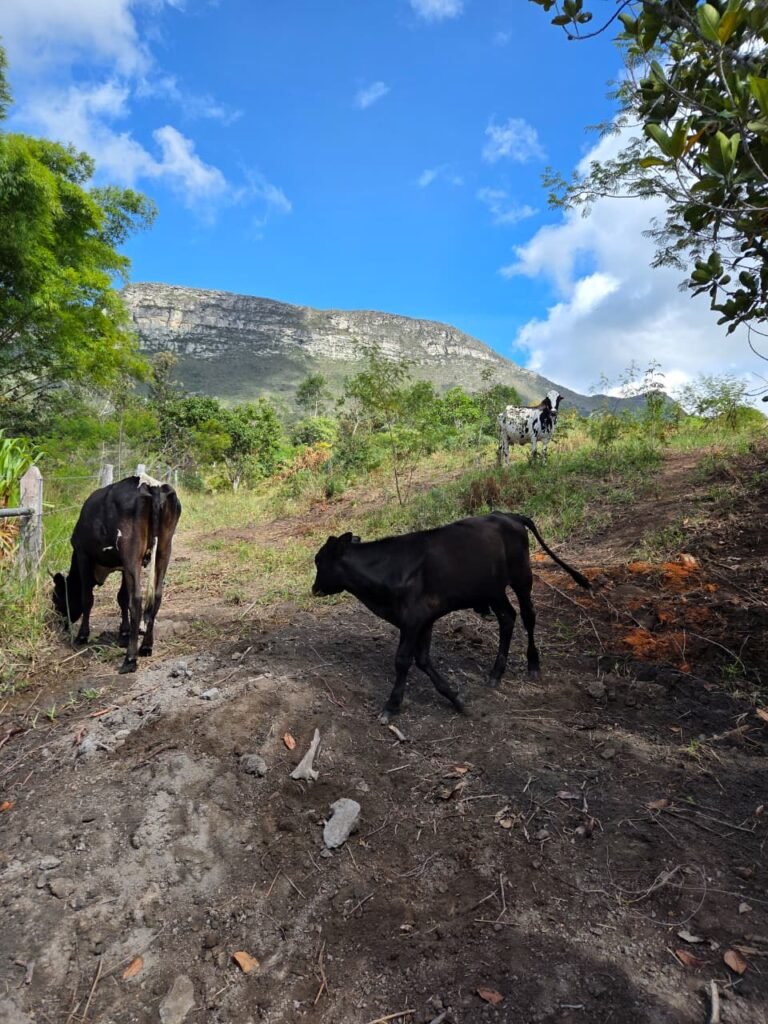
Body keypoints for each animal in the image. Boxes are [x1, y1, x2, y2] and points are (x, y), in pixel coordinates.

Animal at [52, 474, 182, 674]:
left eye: (56, 597)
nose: (62, 624)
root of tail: (150, 485)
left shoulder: (83, 553)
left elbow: (87, 598)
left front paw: (82, 636)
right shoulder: (123, 566)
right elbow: (122, 597)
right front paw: (124, 632)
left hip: (131, 552)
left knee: (137, 600)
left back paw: (130, 659)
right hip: (164, 548)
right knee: (157, 595)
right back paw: (146, 646)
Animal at [312, 511, 590, 722]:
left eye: (318, 561)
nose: (314, 588)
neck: (391, 570)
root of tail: (507, 514)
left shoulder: (413, 619)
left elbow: (402, 660)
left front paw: (391, 706)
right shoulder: (422, 621)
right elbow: (423, 660)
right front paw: (456, 699)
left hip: (522, 577)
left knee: (528, 615)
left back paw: (533, 664)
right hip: (492, 589)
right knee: (507, 617)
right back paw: (496, 673)